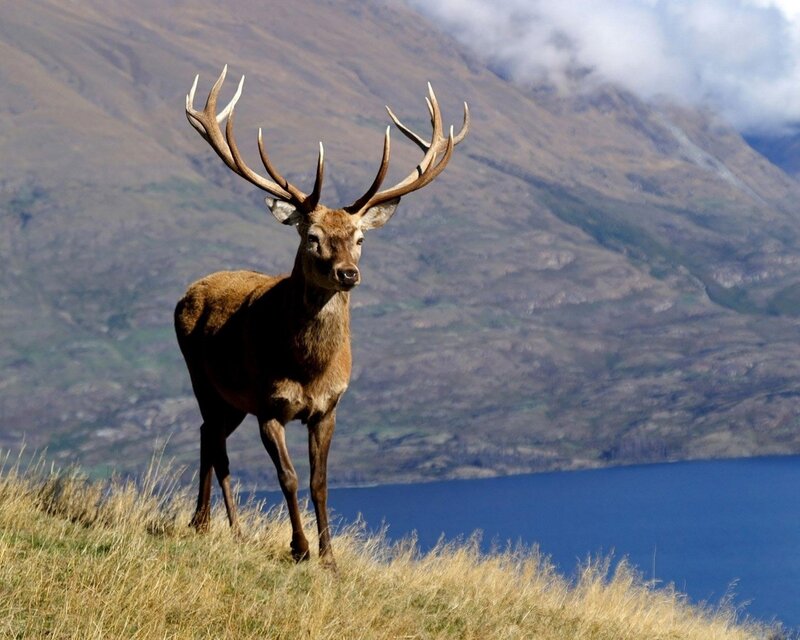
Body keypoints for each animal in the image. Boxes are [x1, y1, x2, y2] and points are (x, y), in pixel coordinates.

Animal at [175, 66, 469, 567]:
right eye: (312, 237)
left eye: (359, 238)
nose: (348, 273)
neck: (309, 369)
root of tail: (187, 293)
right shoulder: (268, 404)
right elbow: (289, 477)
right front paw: (299, 547)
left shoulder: (329, 407)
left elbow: (319, 482)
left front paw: (329, 557)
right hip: (204, 380)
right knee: (211, 437)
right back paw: (204, 523)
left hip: (232, 400)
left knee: (212, 438)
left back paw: (229, 528)